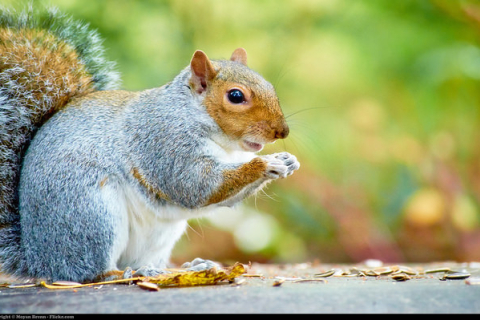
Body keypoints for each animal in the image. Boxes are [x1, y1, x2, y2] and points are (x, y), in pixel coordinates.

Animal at [0, 6, 300, 282]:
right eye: (236, 96)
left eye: (270, 86)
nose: (282, 131)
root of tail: (38, 259)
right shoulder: (163, 142)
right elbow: (196, 184)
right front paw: (264, 164)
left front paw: (287, 161)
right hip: (91, 216)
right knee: (89, 271)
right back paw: (126, 273)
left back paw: (181, 268)